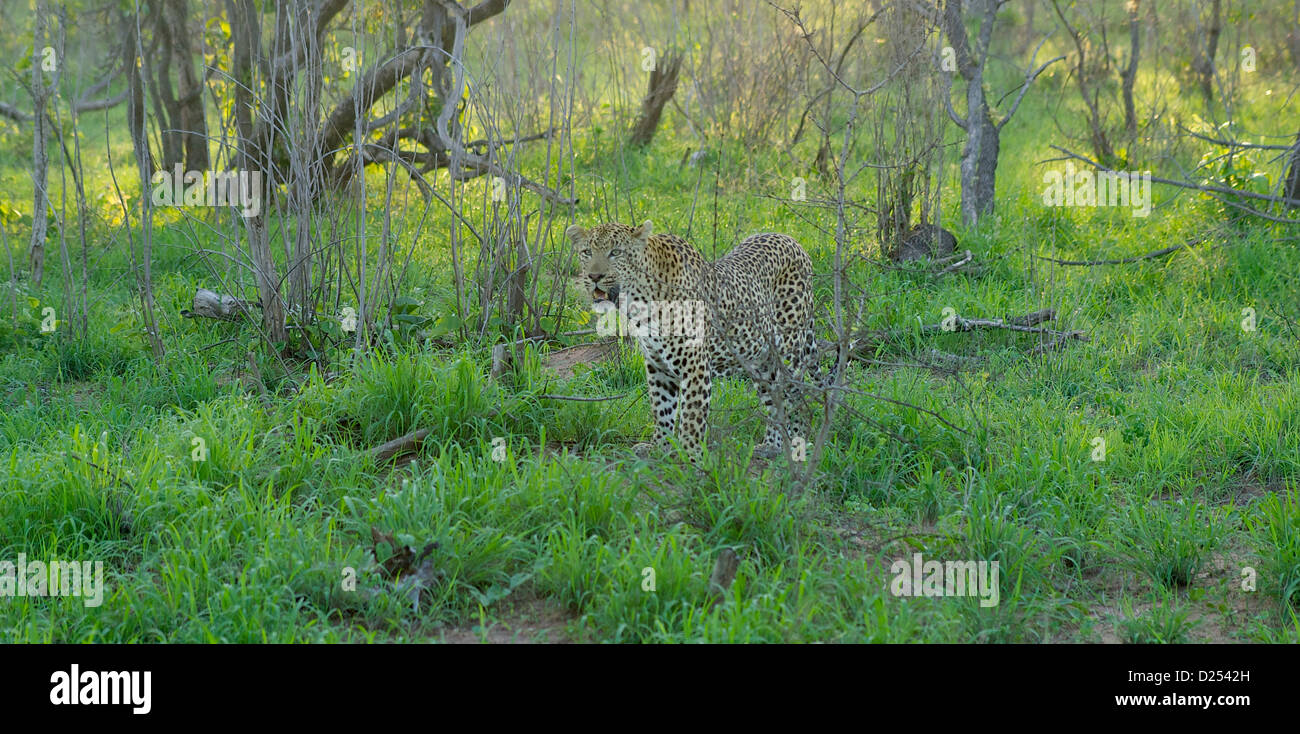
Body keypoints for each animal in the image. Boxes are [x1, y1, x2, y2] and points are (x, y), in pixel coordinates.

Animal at [566, 219, 816, 457]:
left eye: (615, 252)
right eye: (587, 252)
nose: (594, 276)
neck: (641, 301)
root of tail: (792, 240)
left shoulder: (695, 366)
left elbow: (691, 418)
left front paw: (692, 457)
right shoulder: (658, 367)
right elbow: (662, 409)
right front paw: (659, 448)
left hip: (788, 354)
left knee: (799, 399)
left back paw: (798, 446)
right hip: (761, 362)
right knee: (775, 399)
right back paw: (772, 447)